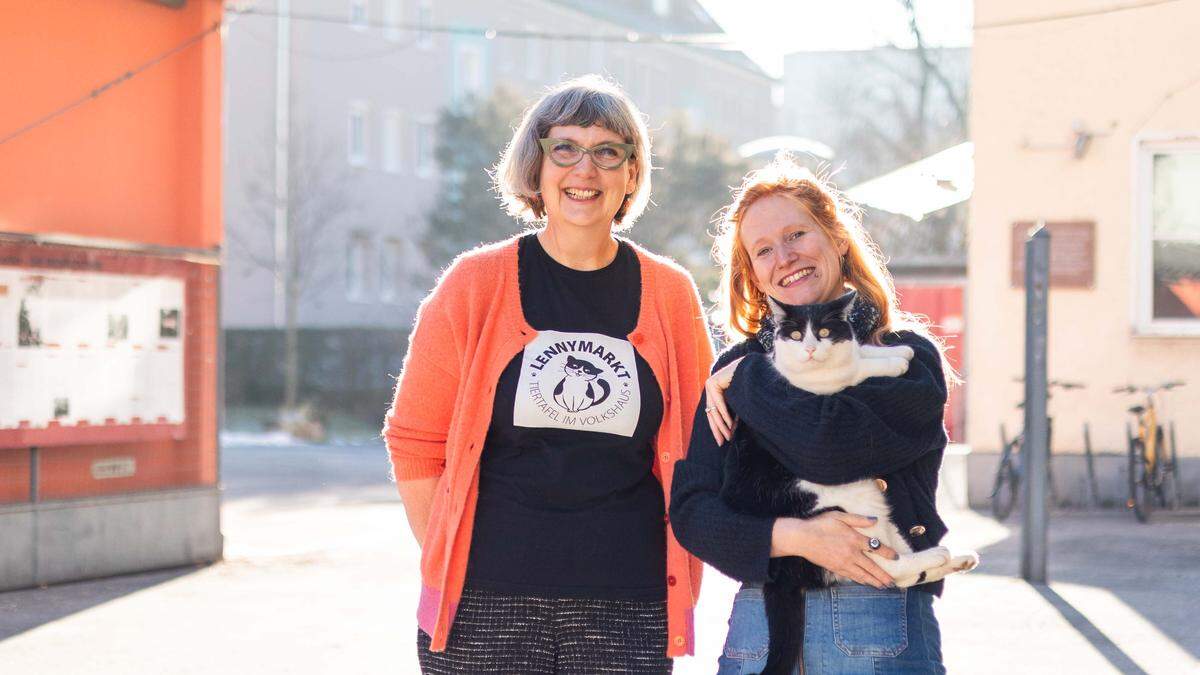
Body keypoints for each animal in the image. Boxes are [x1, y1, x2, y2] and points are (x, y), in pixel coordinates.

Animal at [715, 289, 979, 672]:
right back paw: (939, 556)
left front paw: (893, 351)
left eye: (824, 332)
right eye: (797, 335)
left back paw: (954, 559)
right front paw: (891, 362)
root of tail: (782, 572)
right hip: (853, 499)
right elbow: (854, 368)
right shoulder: (816, 386)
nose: (811, 349)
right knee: (890, 569)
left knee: (898, 570)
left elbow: (859, 351)